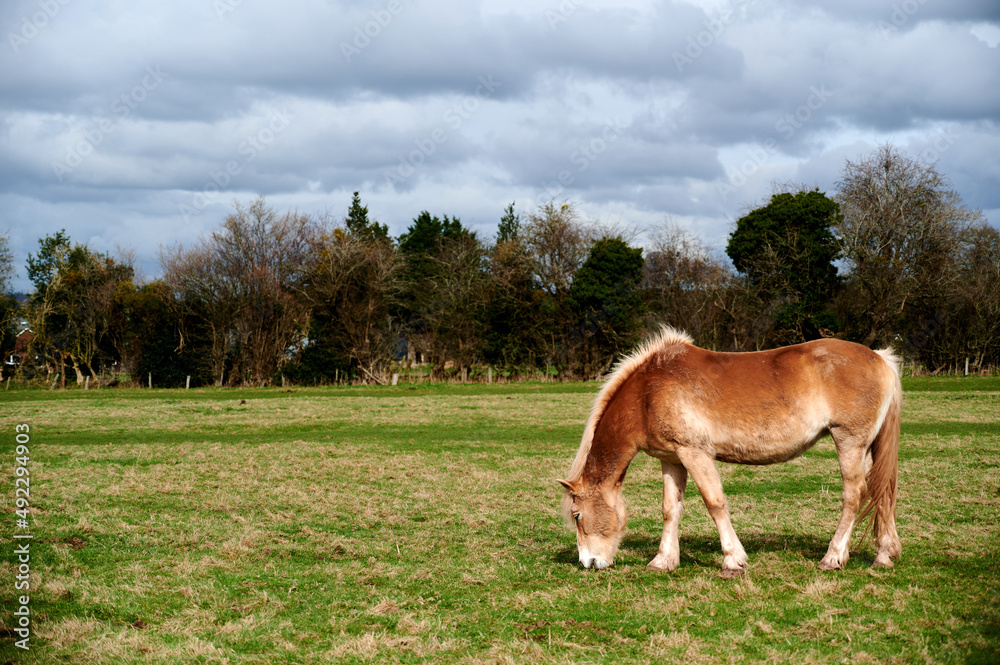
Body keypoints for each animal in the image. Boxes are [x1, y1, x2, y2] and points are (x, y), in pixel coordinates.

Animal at [559, 327, 902, 578]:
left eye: (577, 515)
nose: (588, 562)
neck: (648, 391)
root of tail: (880, 358)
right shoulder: (672, 460)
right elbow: (671, 509)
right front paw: (663, 561)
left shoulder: (695, 454)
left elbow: (715, 503)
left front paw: (732, 560)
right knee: (881, 491)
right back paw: (884, 555)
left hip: (849, 442)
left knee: (855, 495)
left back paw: (833, 557)